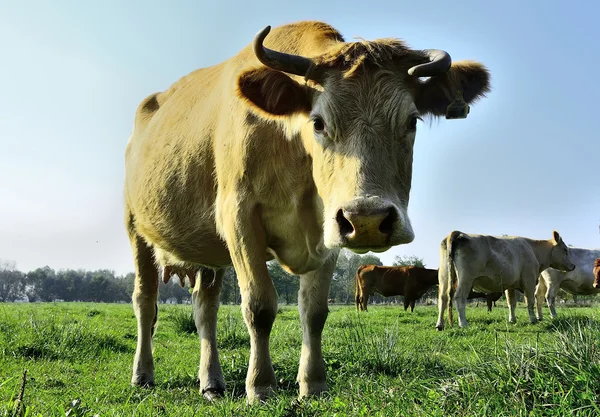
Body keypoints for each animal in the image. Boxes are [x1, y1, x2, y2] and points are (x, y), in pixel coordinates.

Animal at [124, 19, 490, 400]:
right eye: (318, 122)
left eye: (412, 120)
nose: (368, 219)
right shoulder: (239, 218)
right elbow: (259, 306)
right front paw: (261, 385)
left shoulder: (330, 230)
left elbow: (314, 311)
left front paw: (313, 383)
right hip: (136, 228)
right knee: (145, 301)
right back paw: (143, 373)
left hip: (210, 253)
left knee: (204, 307)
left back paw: (211, 381)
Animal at [436, 229, 576, 330]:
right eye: (565, 249)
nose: (573, 266)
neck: (533, 250)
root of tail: (458, 232)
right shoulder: (529, 280)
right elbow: (529, 301)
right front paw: (533, 320)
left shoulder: (510, 285)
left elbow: (511, 303)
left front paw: (512, 320)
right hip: (466, 278)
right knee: (459, 297)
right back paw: (463, 324)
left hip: (444, 276)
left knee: (443, 298)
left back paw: (440, 325)